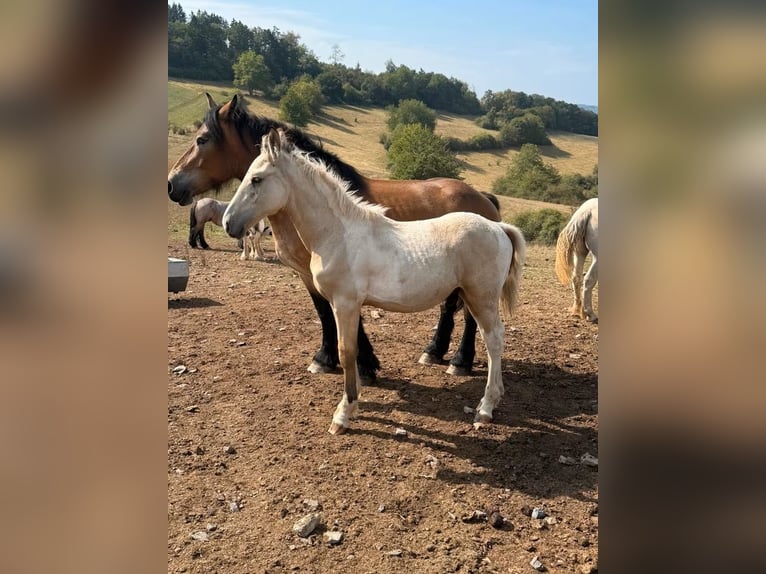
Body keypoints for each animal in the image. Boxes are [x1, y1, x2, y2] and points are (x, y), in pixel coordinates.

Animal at [168, 93, 503, 383]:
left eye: (202, 139)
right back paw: (433, 351)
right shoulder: (308, 274)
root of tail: (483, 198)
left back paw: (460, 360)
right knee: (449, 309)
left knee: (472, 317)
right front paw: (325, 358)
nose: (171, 183)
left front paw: (364, 365)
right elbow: (323, 312)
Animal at [223, 129, 526, 434]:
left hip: (482, 297)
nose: (228, 223)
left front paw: (343, 414)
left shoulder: (345, 303)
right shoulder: (346, 303)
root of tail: (498, 227)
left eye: (257, 179)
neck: (338, 233)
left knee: (494, 340)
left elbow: (347, 352)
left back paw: (485, 407)